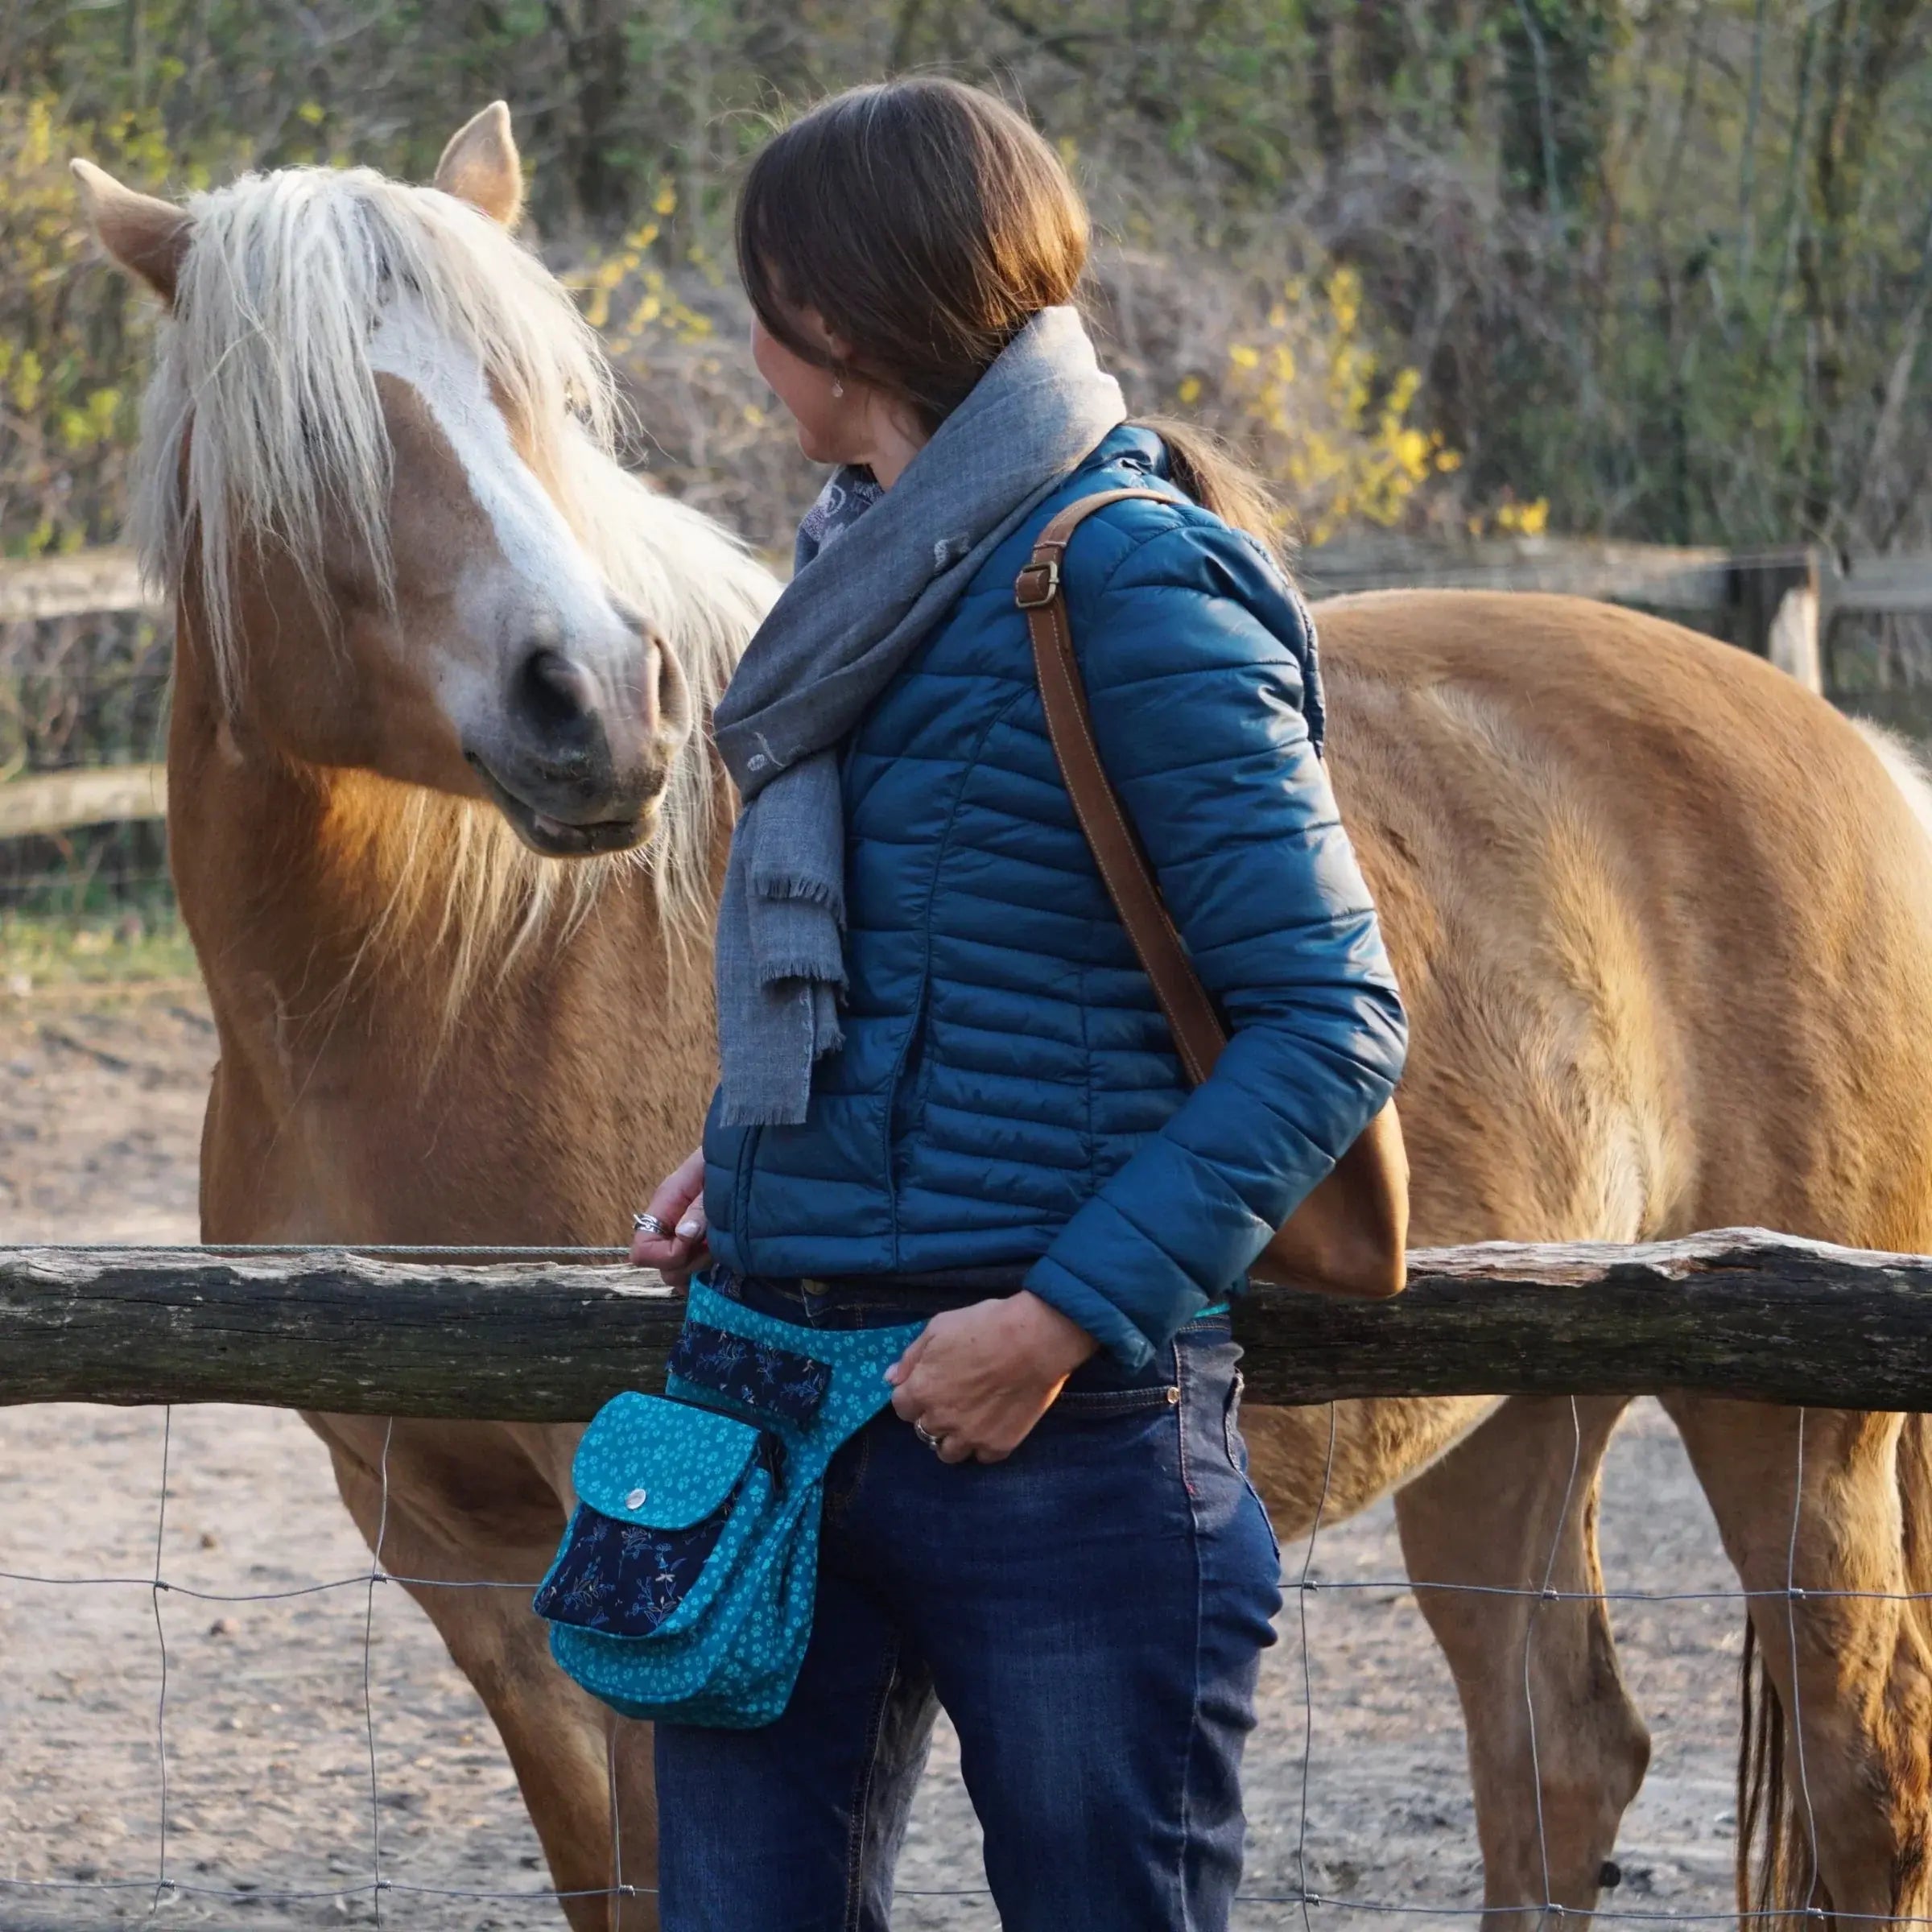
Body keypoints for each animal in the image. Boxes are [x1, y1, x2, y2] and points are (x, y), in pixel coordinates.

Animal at [83, 113, 1932, 1924]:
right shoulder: (470, 1575)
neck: (459, 985)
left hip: (1794, 1434)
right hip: (1525, 1414)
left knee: (1863, 1793)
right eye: (318, 443)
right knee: (1561, 1771)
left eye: (535, 397)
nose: (597, 704)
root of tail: (1857, 756)